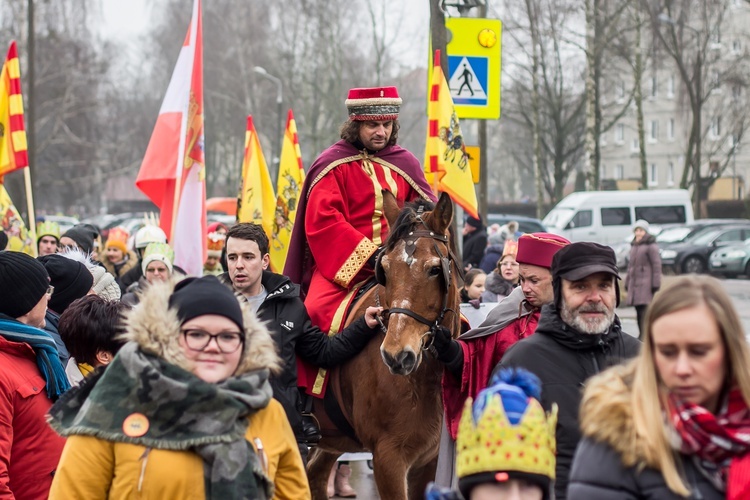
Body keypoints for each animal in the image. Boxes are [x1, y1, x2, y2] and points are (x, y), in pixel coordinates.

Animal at [306, 192, 462, 500]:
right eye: (385, 269)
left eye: (434, 269)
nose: (396, 355)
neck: (425, 379)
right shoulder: (388, 457)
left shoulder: (430, 461)